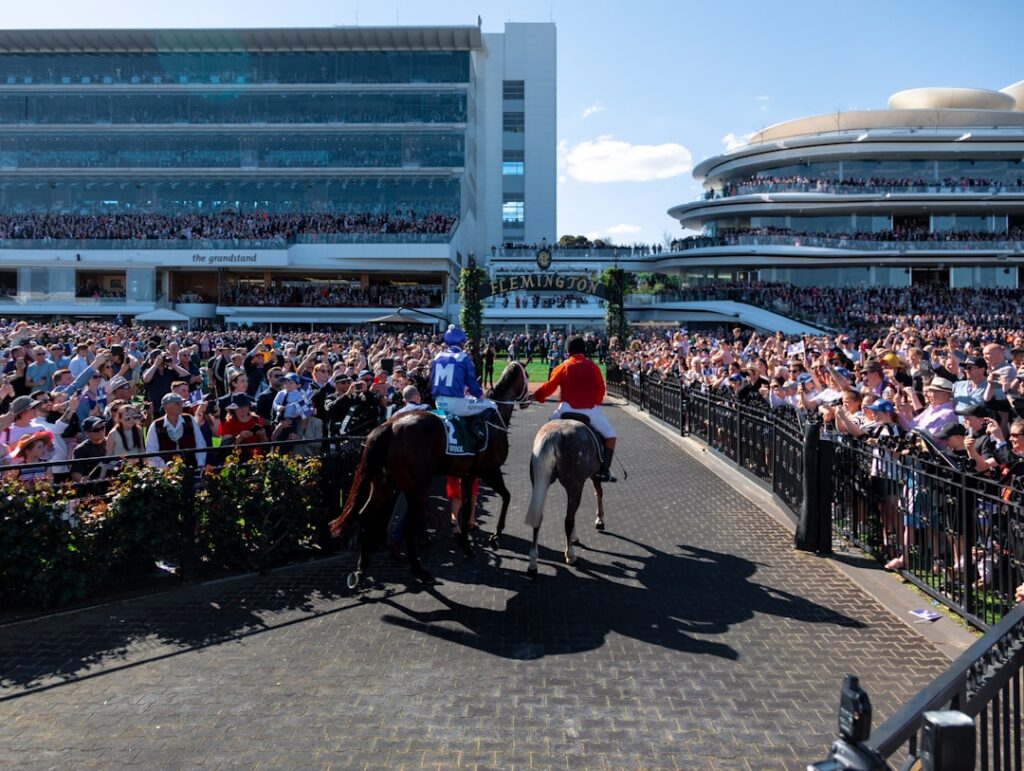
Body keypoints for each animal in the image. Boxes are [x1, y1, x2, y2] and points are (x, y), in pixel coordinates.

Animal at [329, 360, 528, 581]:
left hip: (383, 482)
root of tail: (389, 426)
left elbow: (467, 505)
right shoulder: (490, 469)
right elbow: (506, 497)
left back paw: (362, 568)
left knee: (366, 516)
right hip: (416, 487)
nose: (528, 400)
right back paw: (418, 570)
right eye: (526, 375)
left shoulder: (468, 474)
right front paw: (494, 537)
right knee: (408, 526)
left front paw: (466, 545)